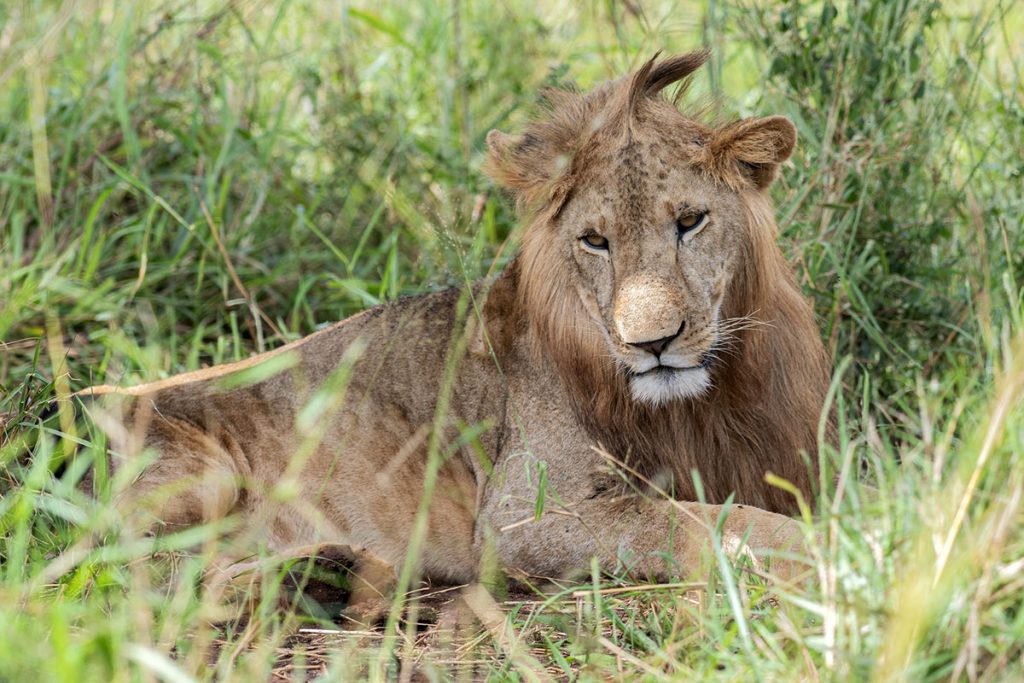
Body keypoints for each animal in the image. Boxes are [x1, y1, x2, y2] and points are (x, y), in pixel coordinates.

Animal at [77, 50, 831, 589]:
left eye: (691, 221)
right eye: (595, 241)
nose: (653, 343)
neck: (698, 403)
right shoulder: (521, 517)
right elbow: (690, 522)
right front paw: (829, 551)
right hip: (197, 472)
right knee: (138, 574)